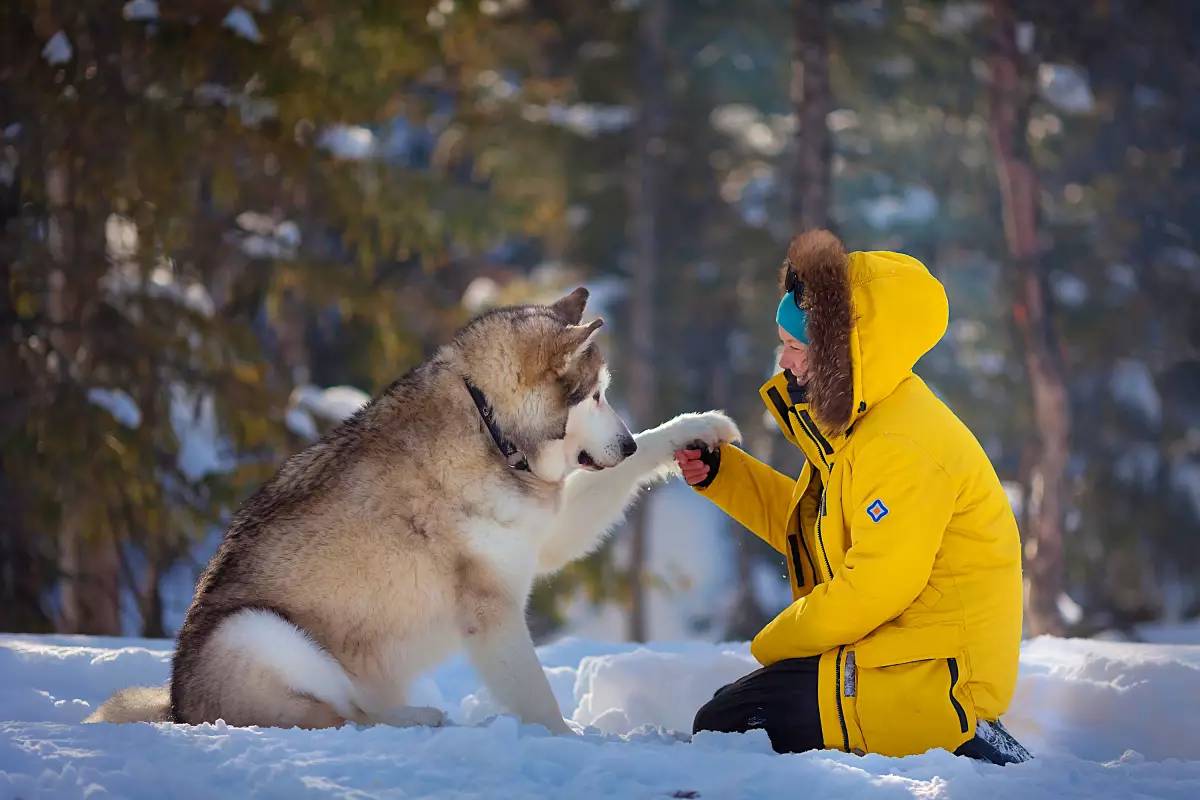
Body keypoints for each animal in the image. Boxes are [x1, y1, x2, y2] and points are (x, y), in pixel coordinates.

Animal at [87, 287, 739, 734]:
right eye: (598, 394)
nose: (623, 444)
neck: (492, 430)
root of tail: (176, 707)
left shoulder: (546, 536)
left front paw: (698, 427)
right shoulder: (491, 610)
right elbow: (538, 701)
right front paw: (569, 743)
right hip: (258, 631)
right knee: (346, 717)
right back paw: (419, 718)